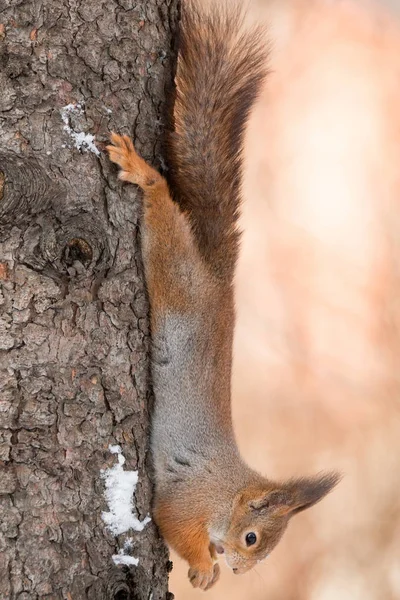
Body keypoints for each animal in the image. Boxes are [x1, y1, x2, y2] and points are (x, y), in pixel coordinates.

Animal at [107, 0, 340, 592]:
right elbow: (173, 524)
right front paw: (205, 568)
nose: (239, 570)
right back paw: (143, 174)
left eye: (262, 551)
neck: (228, 494)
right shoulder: (187, 501)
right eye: (253, 539)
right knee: (163, 217)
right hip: (176, 277)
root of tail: (218, 281)